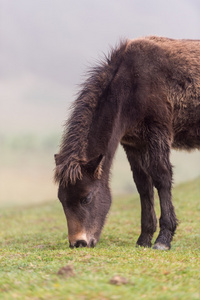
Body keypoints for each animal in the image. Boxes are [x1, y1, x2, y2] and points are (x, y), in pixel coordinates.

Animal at [54, 36, 200, 250]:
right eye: (61, 199)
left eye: (86, 198)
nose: (78, 242)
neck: (130, 86)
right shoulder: (134, 143)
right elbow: (143, 184)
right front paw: (144, 238)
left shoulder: (158, 133)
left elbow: (162, 178)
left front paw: (163, 238)